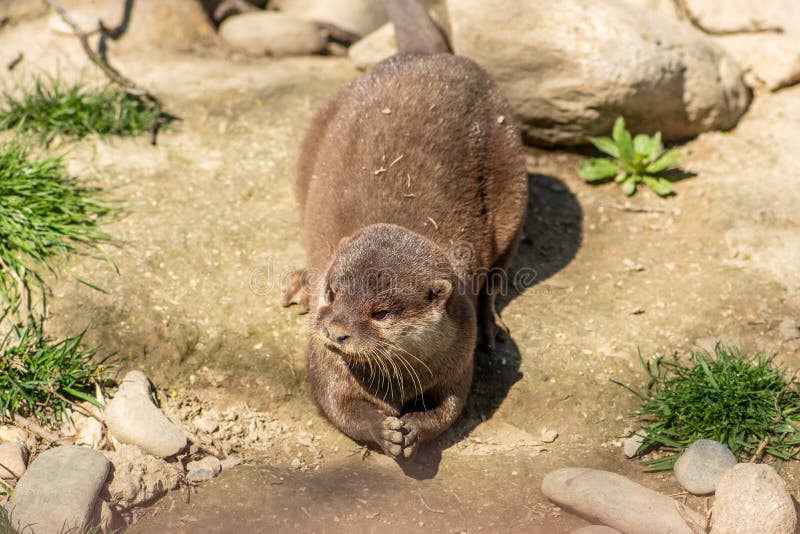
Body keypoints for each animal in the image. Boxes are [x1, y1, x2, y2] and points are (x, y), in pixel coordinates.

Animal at [282, 0, 532, 460]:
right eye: (333, 293)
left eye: (380, 313)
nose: (336, 332)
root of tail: (430, 58)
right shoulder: (323, 359)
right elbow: (334, 402)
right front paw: (383, 429)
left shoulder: (457, 353)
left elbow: (450, 407)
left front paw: (414, 428)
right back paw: (297, 283)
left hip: (513, 171)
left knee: (499, 268)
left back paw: (492, 324)